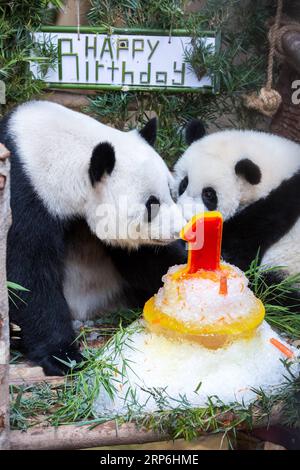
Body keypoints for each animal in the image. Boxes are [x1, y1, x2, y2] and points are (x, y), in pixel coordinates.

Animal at [1, 100, 186, 374]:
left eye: (172, 193)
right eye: (151, 204)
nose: (179, 229)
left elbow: (146, 259)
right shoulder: (22, 194)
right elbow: (26, 274)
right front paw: (64, 356)